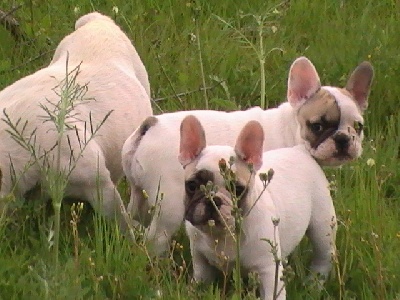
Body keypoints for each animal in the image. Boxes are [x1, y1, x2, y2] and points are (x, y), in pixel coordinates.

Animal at [122, 55, 376, 253]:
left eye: (359, 127)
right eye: (318, 126)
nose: (343, 139)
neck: (289, 127)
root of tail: (150, 126)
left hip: (139, 193)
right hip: (171, 205)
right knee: (156, 238)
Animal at [180, 115, 336, 300]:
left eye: (238, 190)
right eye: (192, 186)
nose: (214, 200)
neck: (223, 234)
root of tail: (300, 150)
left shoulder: (268, 271)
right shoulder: (201, 264)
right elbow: (199, 282)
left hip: (322, 228)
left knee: (323, 257)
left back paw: (314, 285)